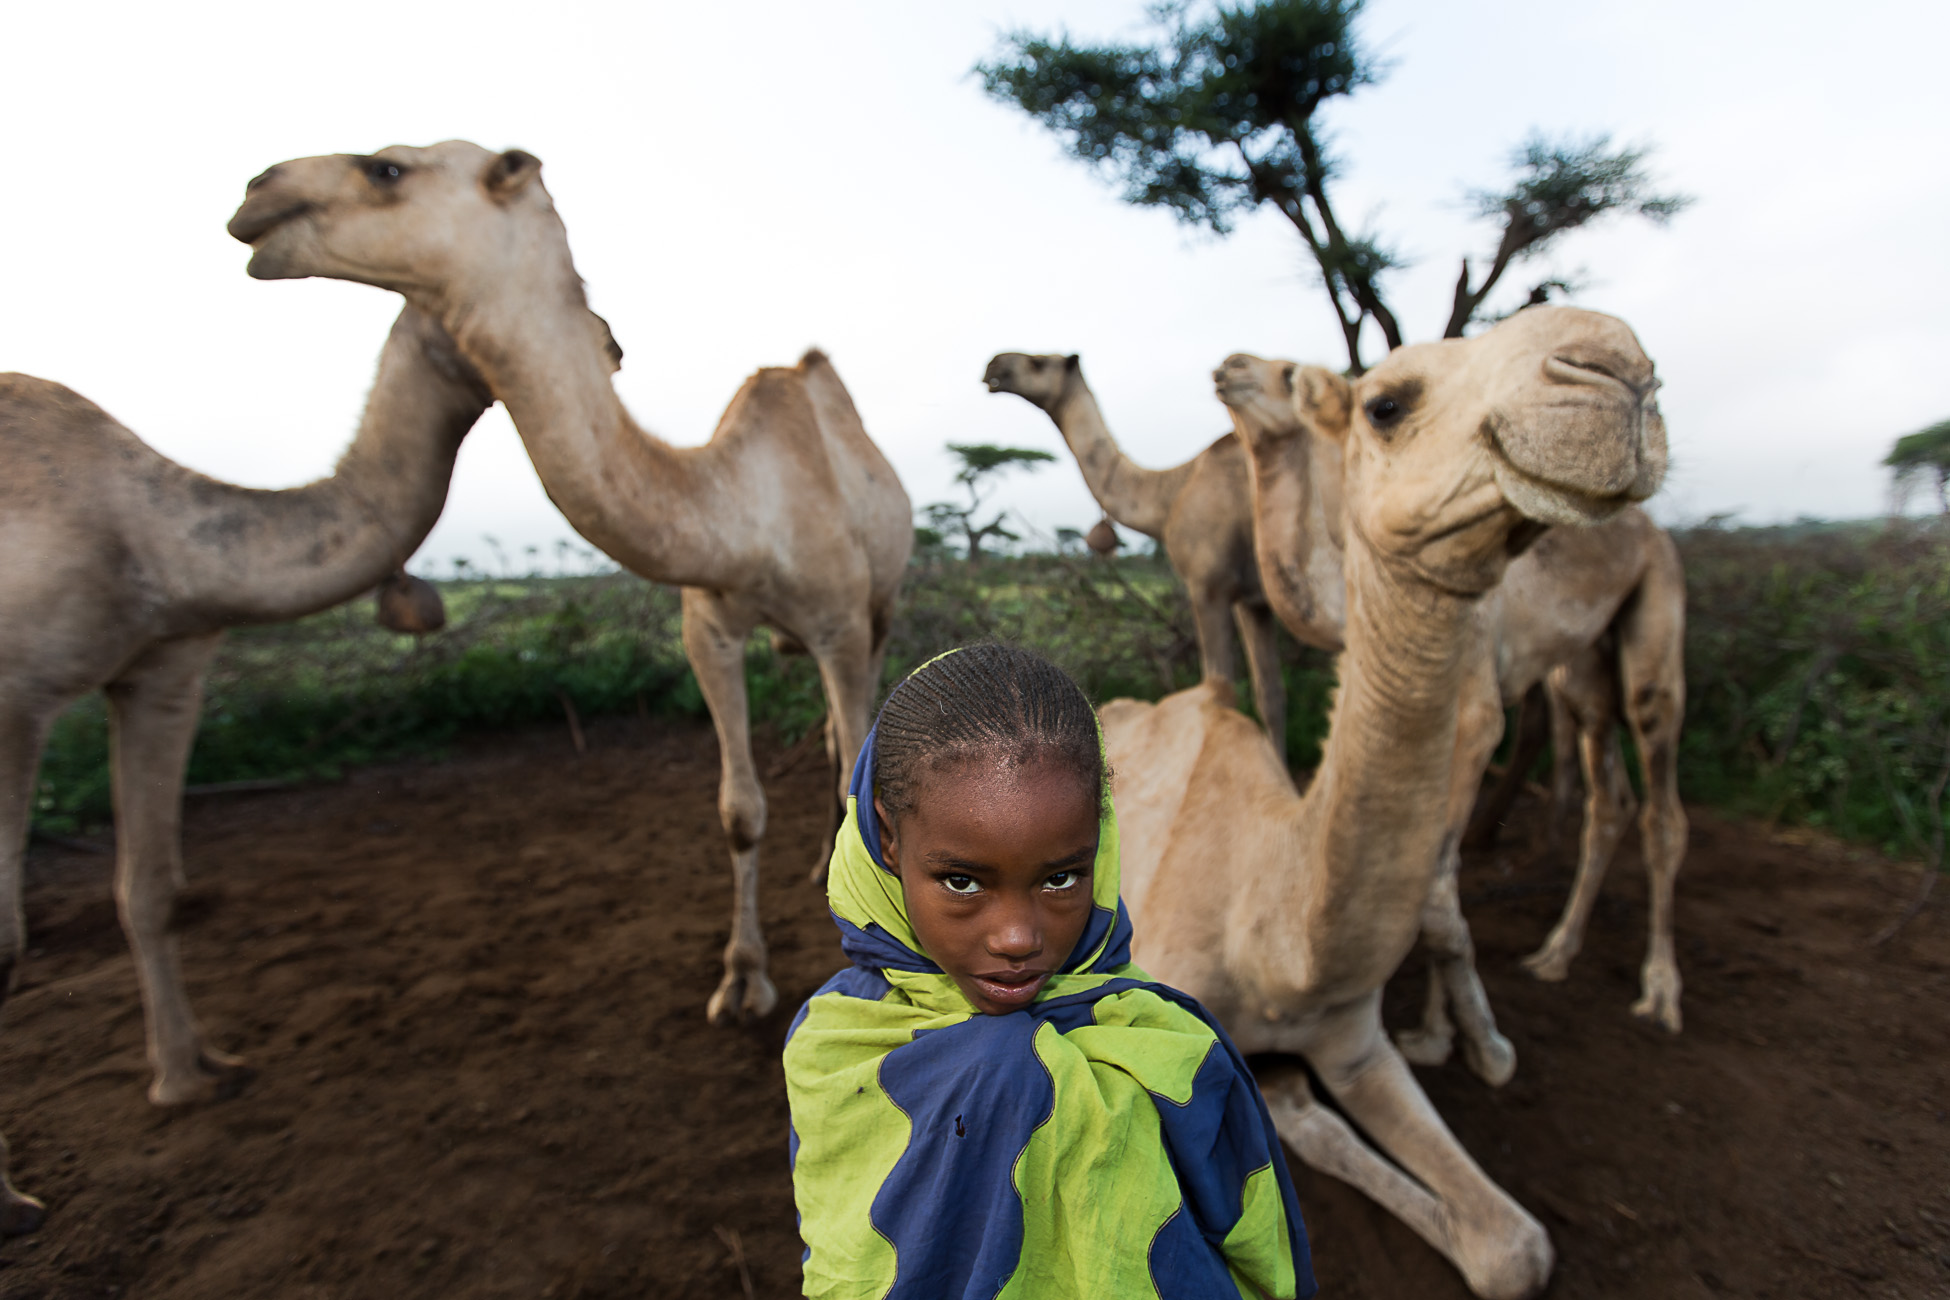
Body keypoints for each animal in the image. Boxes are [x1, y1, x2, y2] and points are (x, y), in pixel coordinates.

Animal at [0, 305, 494, 1234]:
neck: (137, 529)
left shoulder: (161, 665)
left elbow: (151, 890)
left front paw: (192, 1075)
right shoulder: (13, 698)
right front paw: (11, 1202)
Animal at [227, 141, 913, 1026]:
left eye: (386, 169)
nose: (256, 192)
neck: (742, 509)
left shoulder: (841, 625)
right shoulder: (710, 630)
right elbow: (738, 810)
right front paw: (739, 978)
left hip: (881, 608)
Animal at [983, 353, 1302, 758]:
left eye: (1039, 363)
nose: (993, 366)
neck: (1169, 495)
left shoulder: (1208, 585)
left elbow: (1219, 691)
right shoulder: (1254, 601)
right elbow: (1270, 695)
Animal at [1211, 347, 1687, 1088]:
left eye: (1287, 372)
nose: (1230, 365)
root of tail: (1656, 533)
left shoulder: (1476, 715)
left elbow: (1440, 875)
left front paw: (1452, 1038)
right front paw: (1441, 1032)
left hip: (1654, 627)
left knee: (1662, 800)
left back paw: (1660, 994)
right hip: (1583, 670)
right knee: (1609, 795)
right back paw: (1555, 953)